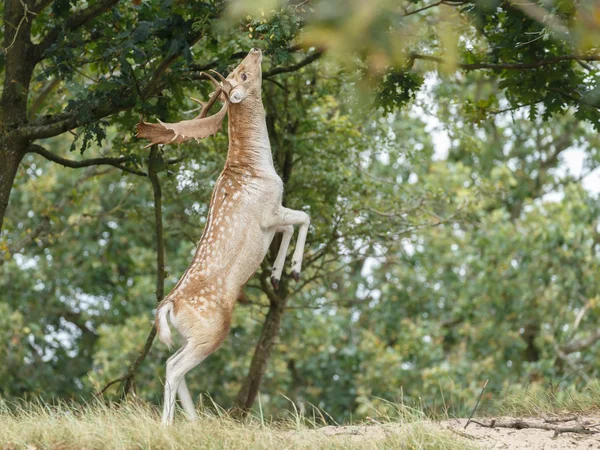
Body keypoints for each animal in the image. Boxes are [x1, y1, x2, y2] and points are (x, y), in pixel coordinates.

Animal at [137, 49, 312, 426]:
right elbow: (304, 218)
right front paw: (293, 270)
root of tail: (169, 306)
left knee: (171, 363)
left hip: (191, 335)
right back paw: (168, 425)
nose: (256, 50)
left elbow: (292, 226)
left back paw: (193, 420)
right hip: (211, 330)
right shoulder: (269, 211)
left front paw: (277, 274)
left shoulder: (272, 218)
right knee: (173, 368)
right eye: (243, 74)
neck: (258, 167)